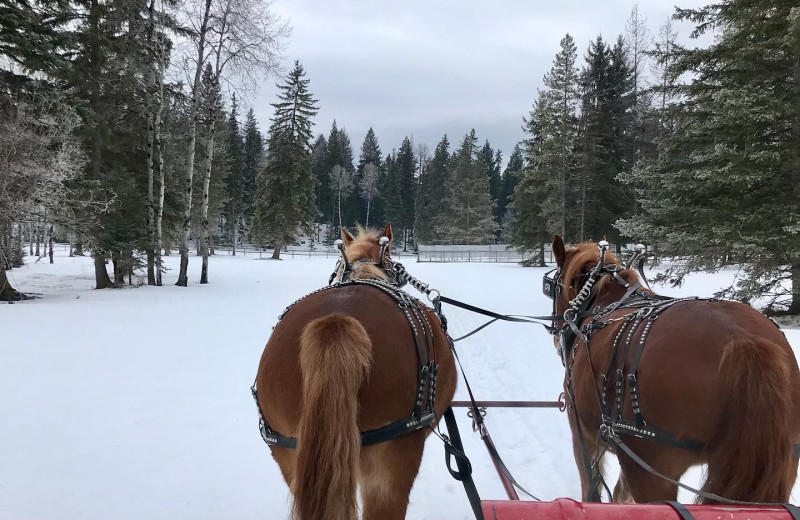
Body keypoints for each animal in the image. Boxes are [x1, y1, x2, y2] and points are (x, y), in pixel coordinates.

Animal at [552, 235, 800, 504]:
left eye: (553, 285)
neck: (602, 301)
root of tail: (744, 341)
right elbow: (620, 492)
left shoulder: (581, 431)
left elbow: (591, 488)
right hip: (778, 462)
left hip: (651, 467)